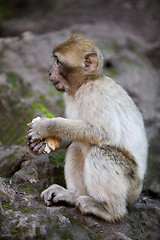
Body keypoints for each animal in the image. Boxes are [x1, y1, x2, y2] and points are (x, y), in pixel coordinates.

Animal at [26, 34, 148, 222]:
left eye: (58, 62)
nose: (49, 72)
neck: (86, 82)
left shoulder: (93, 94)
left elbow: (104, 133)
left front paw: (46, 126)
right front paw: (40, 144)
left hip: (131, 184)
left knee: (99, 152)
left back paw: (109, 210)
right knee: (77, 147)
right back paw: (73, 196)